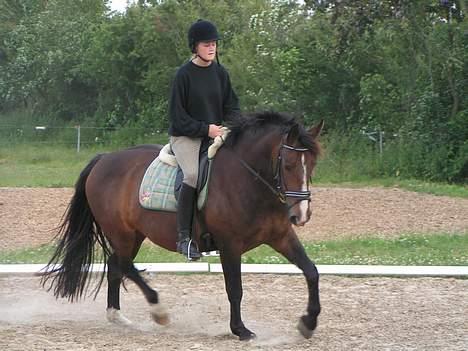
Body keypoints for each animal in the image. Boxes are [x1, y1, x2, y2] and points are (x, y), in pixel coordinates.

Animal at [42, 112, 324, 340]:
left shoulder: (281, 236)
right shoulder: (230, 245)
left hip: (134, 235)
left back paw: (118, 316)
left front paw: (308, 323)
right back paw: (159, 311)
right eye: (288, 164)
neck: (250, 180)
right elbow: (235, 288)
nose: (301, 215)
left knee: (116, 265)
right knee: (124, 265)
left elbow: (311, 271)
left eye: (312, 164)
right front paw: (241, 330)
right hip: (121, 233)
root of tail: (103, 159)